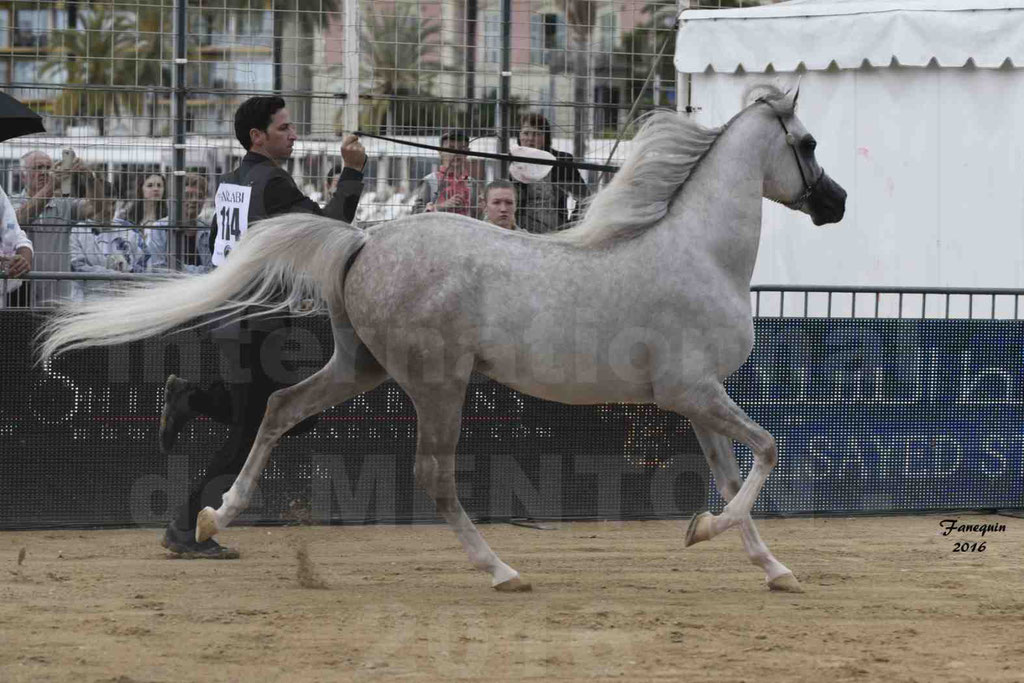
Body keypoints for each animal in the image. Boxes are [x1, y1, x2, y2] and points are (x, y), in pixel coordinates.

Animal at [37, 85, 847, 593]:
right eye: (807, 142)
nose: (835, 202)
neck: (697, 252)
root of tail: (365, 239)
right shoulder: (692, 390)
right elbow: (768, 451)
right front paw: (701, 532)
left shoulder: (695, 399)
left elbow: (731, 473)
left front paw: (770, 567)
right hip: (438, 383)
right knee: (431, 477)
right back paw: (502, 571)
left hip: (361, 367)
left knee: (275, 409)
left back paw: (214, 516)